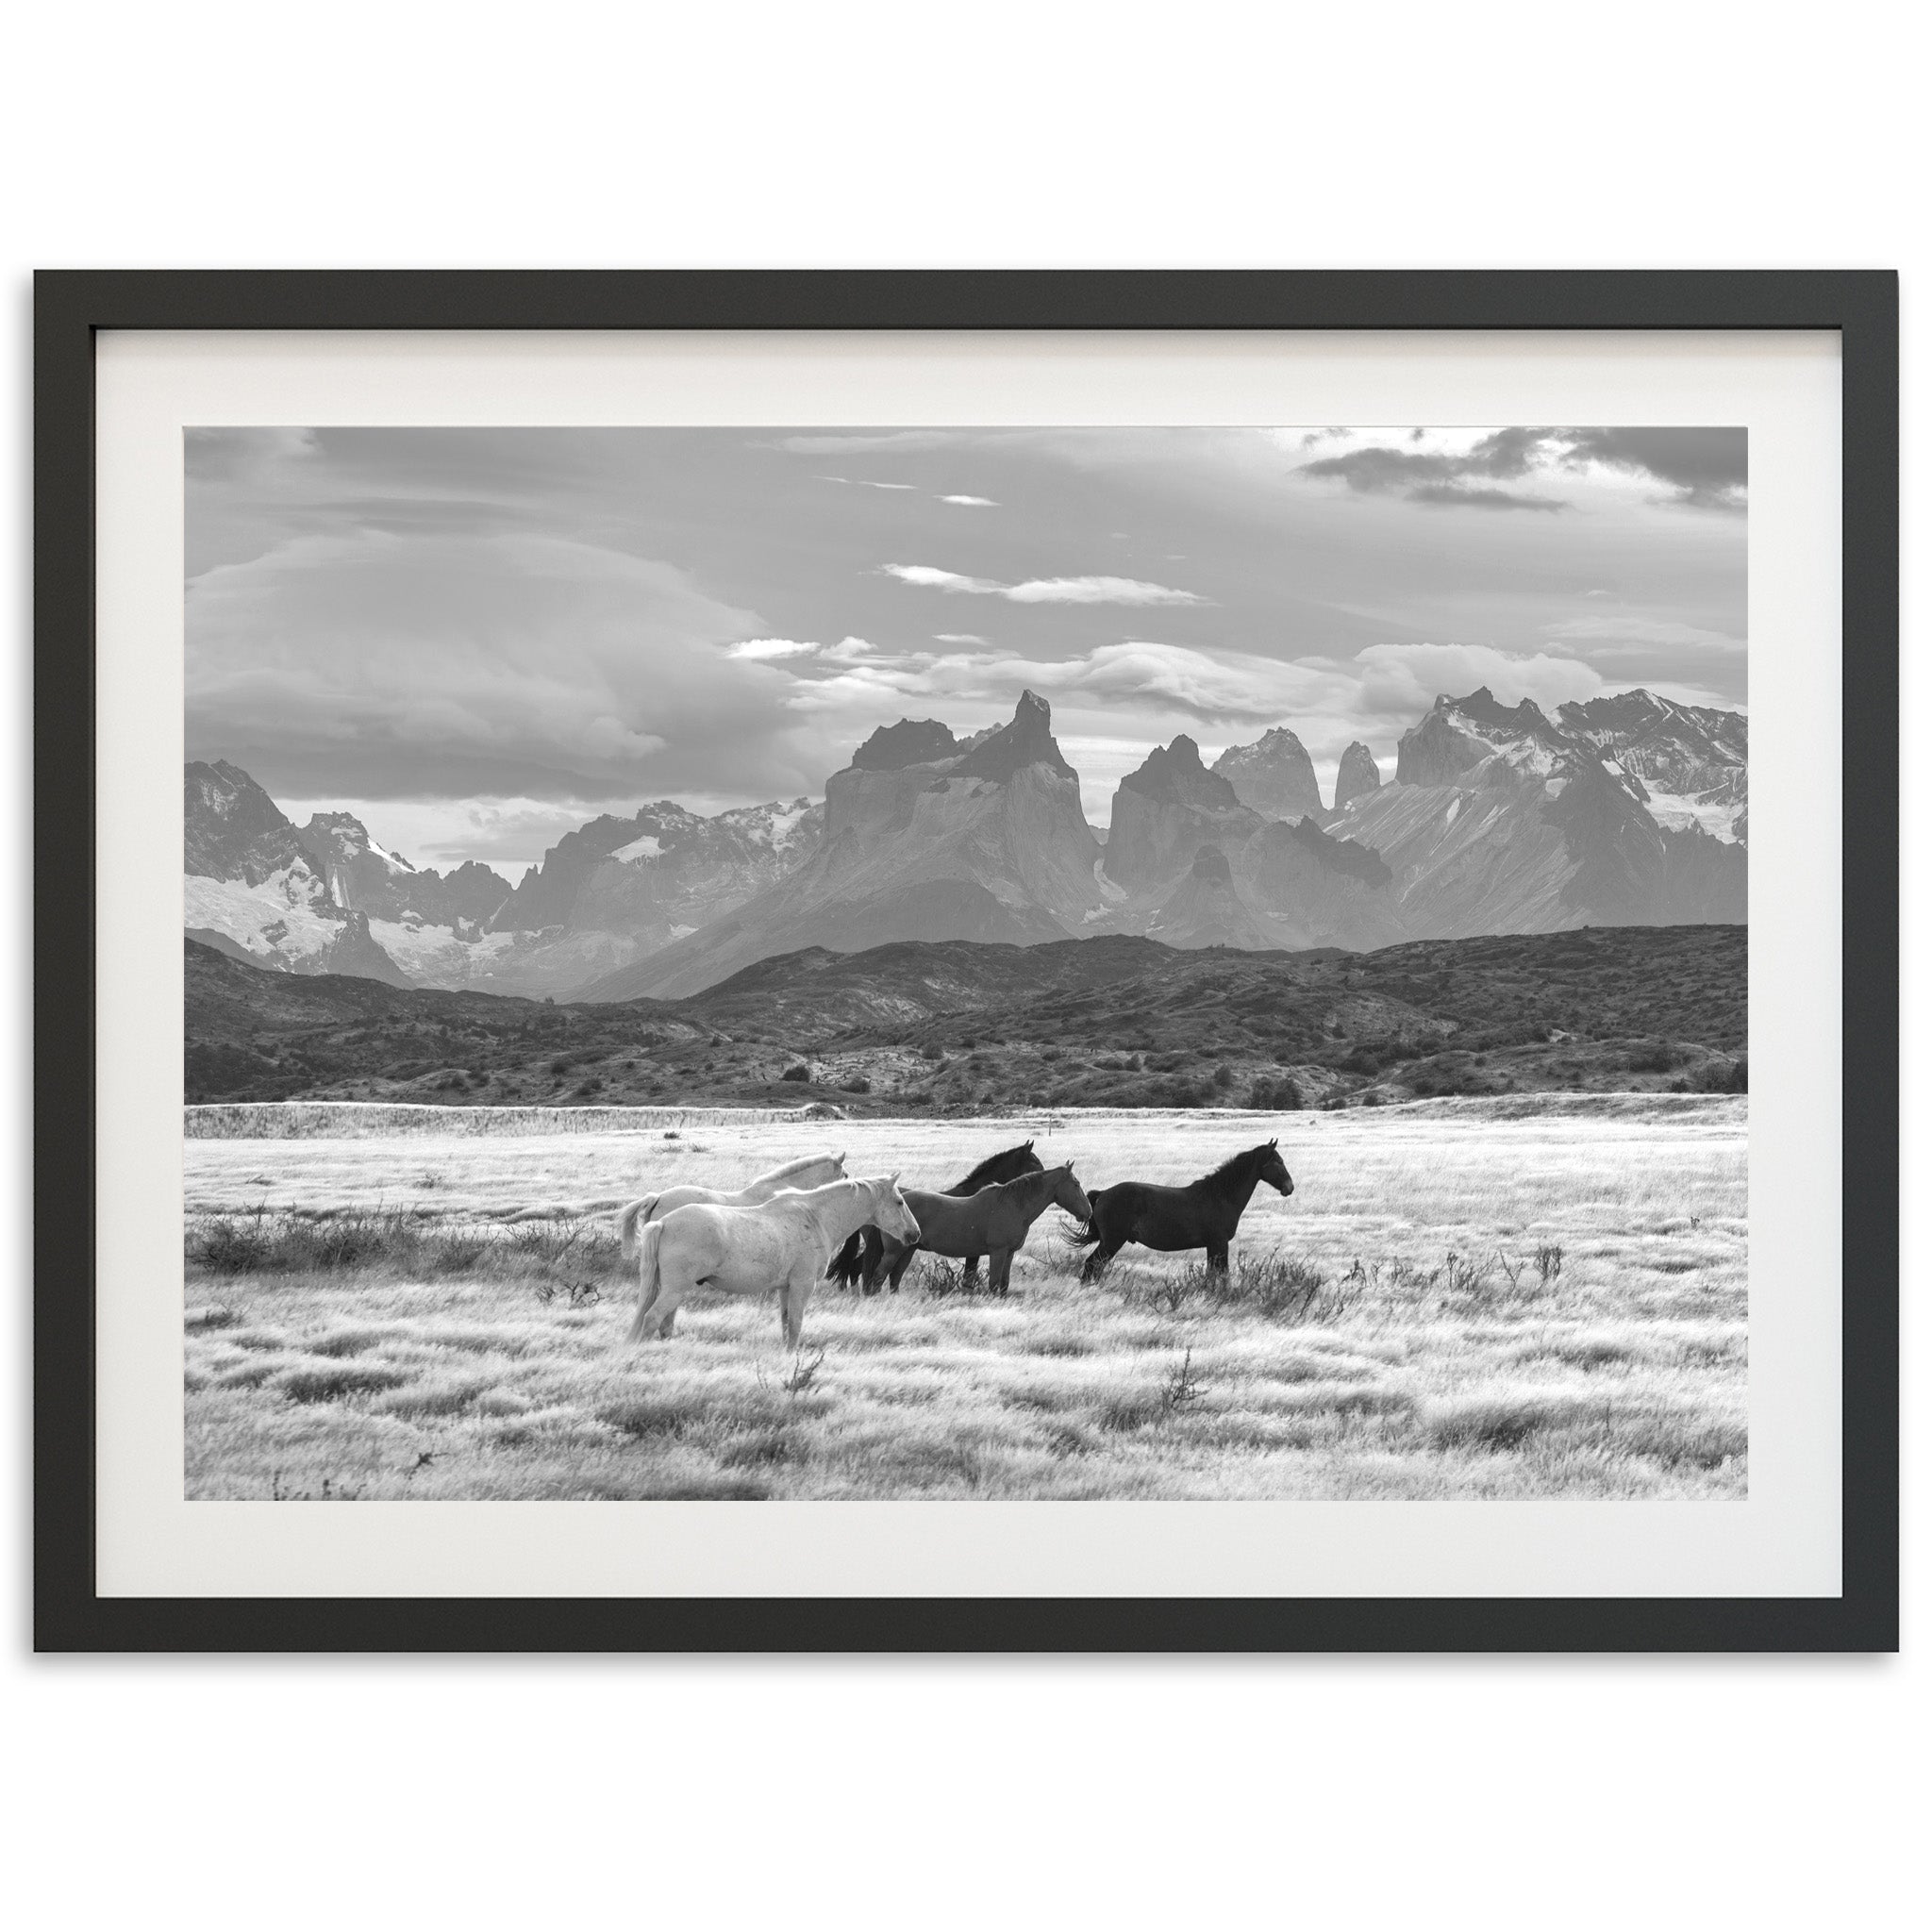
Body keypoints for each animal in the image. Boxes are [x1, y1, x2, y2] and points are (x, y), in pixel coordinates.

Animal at [622, 1174, 915, 1344]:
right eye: (900, 1202)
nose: (915, 1233)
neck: (814, 1217)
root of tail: (663, 1223)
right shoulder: (802, 1286)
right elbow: (795, 1325)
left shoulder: (785, 1289)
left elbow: (785, 1324)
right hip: (674, 1289)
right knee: (652, 1319)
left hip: (671, 1289)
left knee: (664, 1323)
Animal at [826, 1128, 1051, 1298]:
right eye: (1034, 1161)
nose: (1044, 1174)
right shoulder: (974, 1252)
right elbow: (969, 1276)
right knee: (859, 1268)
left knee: (856, 1268)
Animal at [869, 1158, 1097, 1298]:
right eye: (1076, 1184)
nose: (1088, 1212)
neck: (1013, 1205)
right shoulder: (998, 1252)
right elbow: (994, 1283)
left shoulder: (1009, 1254)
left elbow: (1004, 1284)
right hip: (895, 1251)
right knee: (879, 1276)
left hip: (908, 1250)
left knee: (895, 1278)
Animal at [1066, 1128, 1291, 1282]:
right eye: (1279, 1162)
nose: (1290, 1187)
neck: (1220, 1196)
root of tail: (1104, 1194)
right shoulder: (1219, 1243)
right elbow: (1221, 1273)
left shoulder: (1213, 1245)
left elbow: (1212, 1274)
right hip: (1112, 1241)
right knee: (1092, 1265)